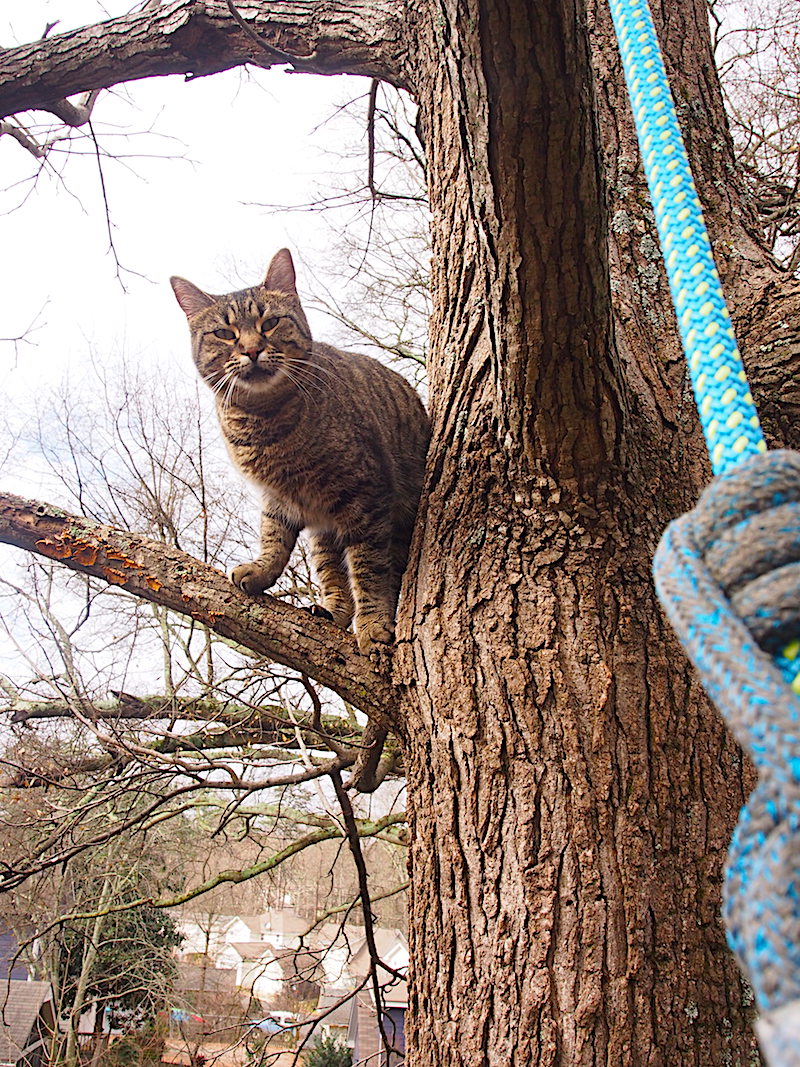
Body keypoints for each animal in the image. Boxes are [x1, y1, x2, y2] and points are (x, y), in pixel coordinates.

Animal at [171, 248, 428, 648]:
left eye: (270, 323)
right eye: (225, 333)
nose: (252, 349)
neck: (266, 423)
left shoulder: (368, 497)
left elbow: (370, 568)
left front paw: (373, 622)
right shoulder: (279, 497)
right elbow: (273, 537)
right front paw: (262, 570)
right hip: (324, 533)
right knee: (332, 572)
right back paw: (331, 610)